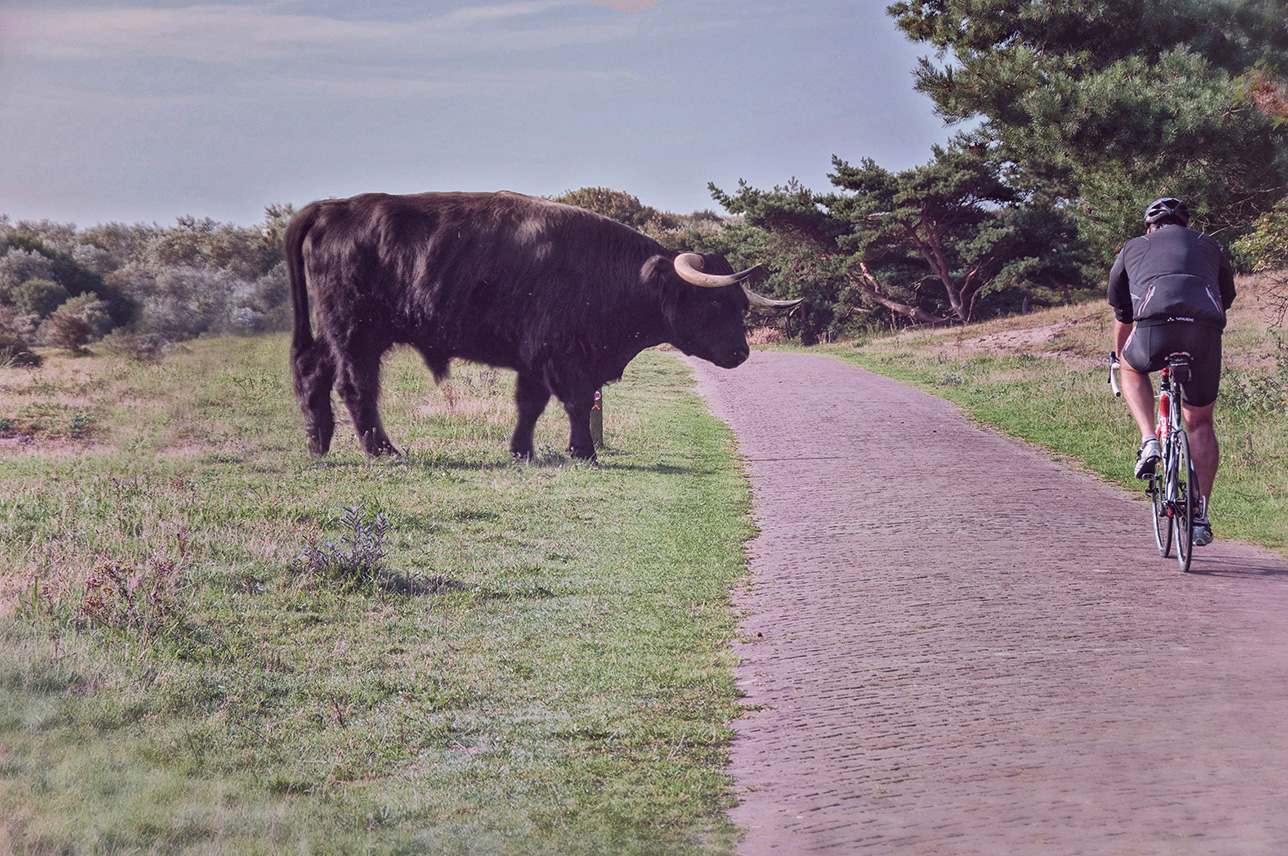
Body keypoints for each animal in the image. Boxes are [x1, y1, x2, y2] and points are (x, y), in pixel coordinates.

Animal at [287, 190, 798, 460]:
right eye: (714, 303)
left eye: (741, 304)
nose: (742, 353)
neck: (613, 273)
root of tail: (333, 208)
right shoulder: (561, 356)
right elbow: (576, 403)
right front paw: (584, 452)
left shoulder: (533, 360)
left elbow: (529, 405)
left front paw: (522, 451)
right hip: (357, 335)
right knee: (356, 387)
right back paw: (383, 451)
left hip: (338, 336)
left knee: (313, 370)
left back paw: (319, 443)